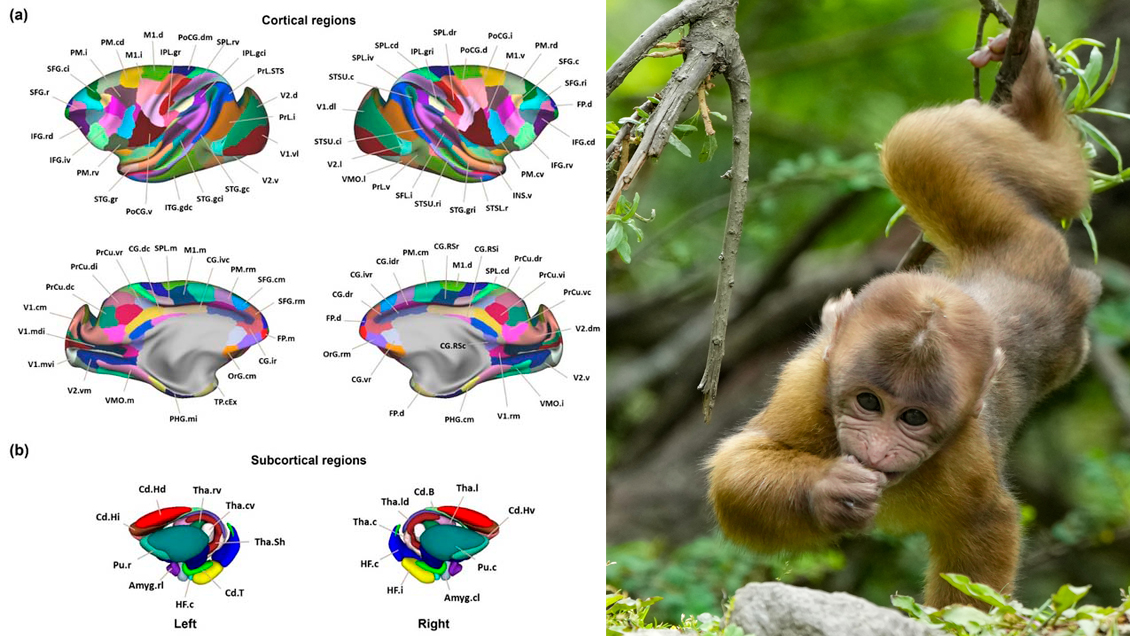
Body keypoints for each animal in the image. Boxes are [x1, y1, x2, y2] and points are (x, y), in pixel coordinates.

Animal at [706, 29, 1100, 609]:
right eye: (868, 403)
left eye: (912, 417)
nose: (876, 449)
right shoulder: (809, 383)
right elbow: (739, 465)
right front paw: (829, 491)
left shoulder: (965, 454)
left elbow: (987, 523)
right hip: (1005, 230)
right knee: (921, 144)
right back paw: (1029, 86)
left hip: (1027, 255)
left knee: (1050, 185)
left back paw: (1031, 95)